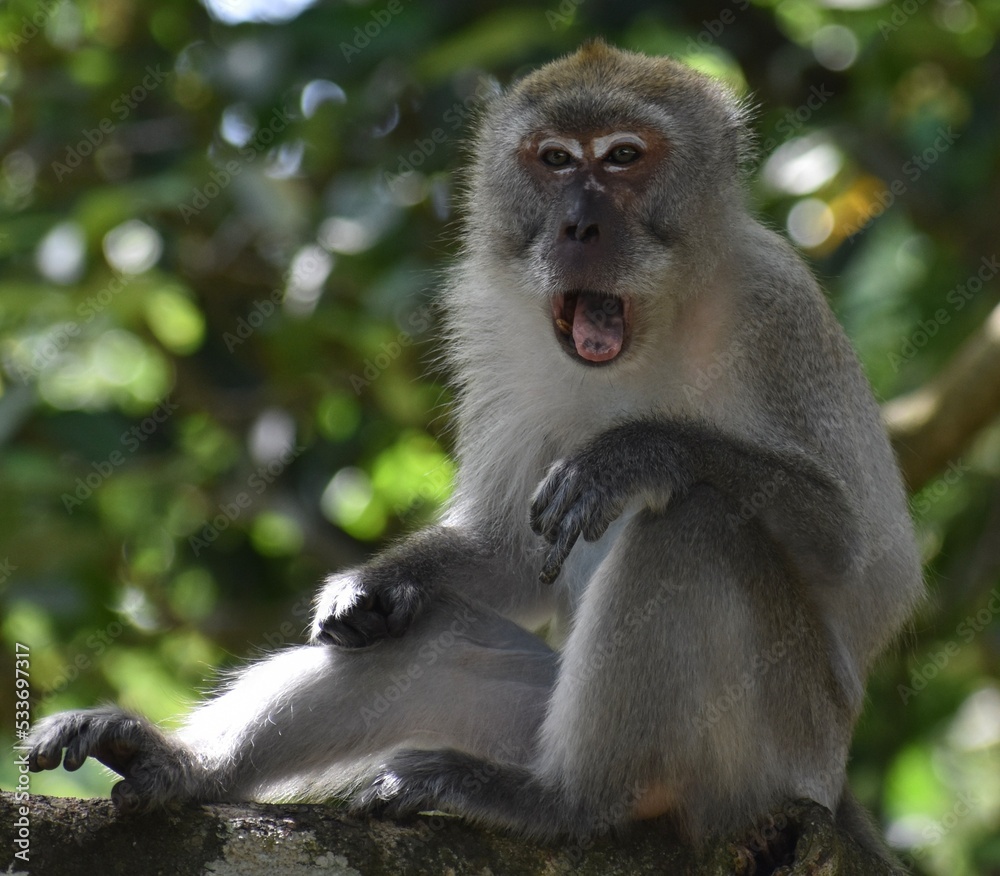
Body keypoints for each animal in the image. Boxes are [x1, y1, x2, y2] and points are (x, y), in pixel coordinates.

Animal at [27, 39, 916, 864]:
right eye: (554, 160)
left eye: (623, 156)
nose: (579, 225)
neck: (653, 324)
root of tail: (829, 790)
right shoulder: (489, 321)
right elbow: (507, 555)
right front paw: (374, 585)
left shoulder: (780, 311)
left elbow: (868, 568)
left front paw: (637, 453)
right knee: (430, 646)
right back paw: (183, 765)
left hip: (768, 759)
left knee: (698, 527)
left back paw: (566, 802)